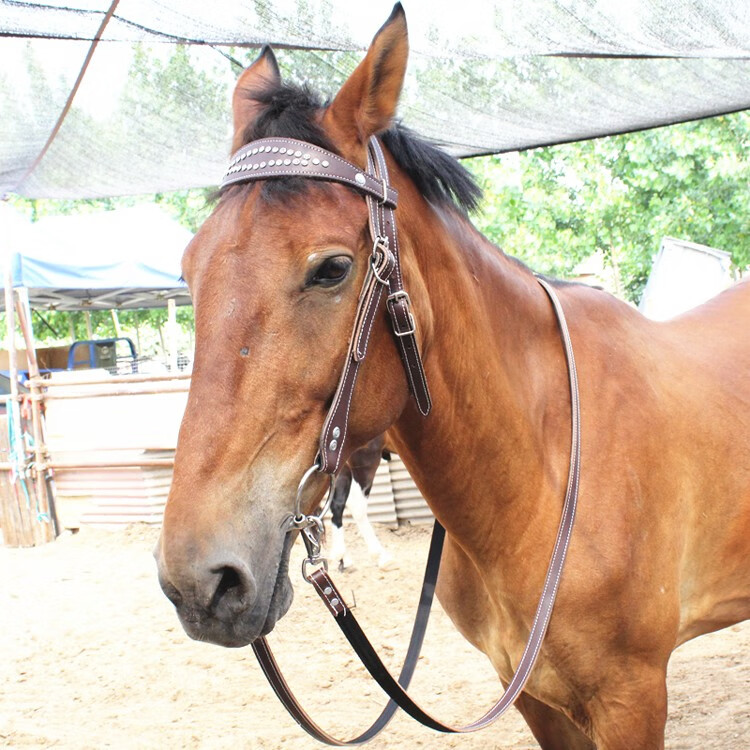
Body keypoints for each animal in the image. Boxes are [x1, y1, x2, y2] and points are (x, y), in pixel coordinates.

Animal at [154, 4, 750, 748]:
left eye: (332, 268)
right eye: (188, 270)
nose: (201, 582)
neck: (545, 466)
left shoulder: (632, 699)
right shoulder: (535, 697)